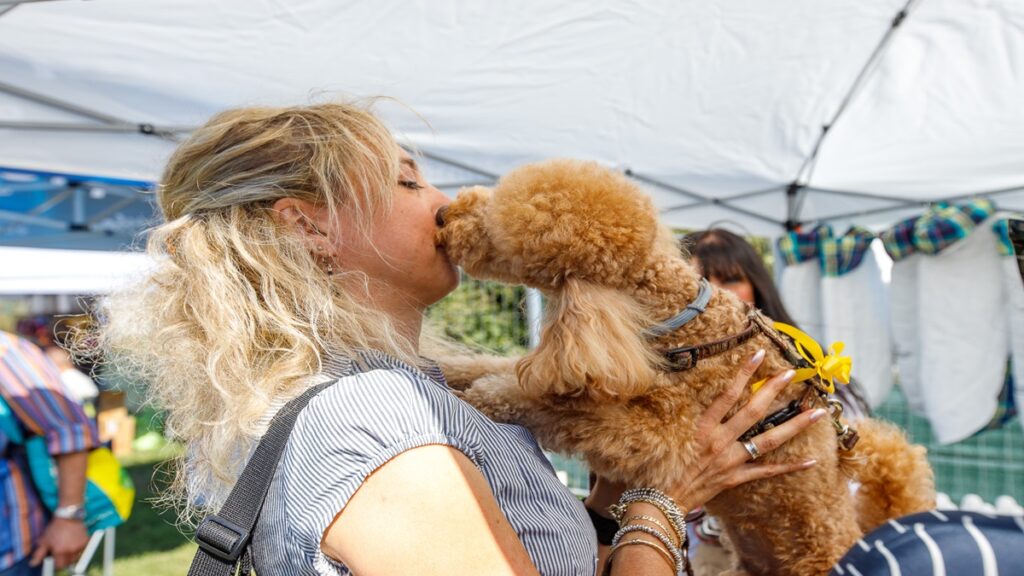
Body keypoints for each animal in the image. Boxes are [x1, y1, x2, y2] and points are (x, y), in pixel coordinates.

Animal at [432, 158, 937, 573]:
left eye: (495, 233)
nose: (442, 215)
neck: (682, 323)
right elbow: (497, 365)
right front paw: (450, 370)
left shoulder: (669, 437)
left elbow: (556, 405)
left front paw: (487, 396)